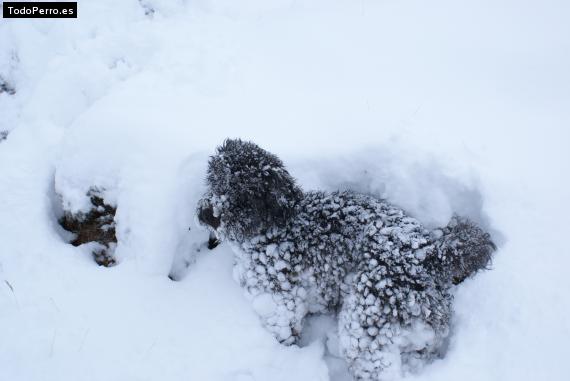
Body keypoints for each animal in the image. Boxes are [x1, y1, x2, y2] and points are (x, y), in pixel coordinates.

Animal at [195, 140, 492, 380]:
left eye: (242, 195)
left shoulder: (280, 304)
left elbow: (284, 331)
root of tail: (432, 256)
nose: (206, 214)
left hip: (364, 323)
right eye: (215, 179)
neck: (274, 227)